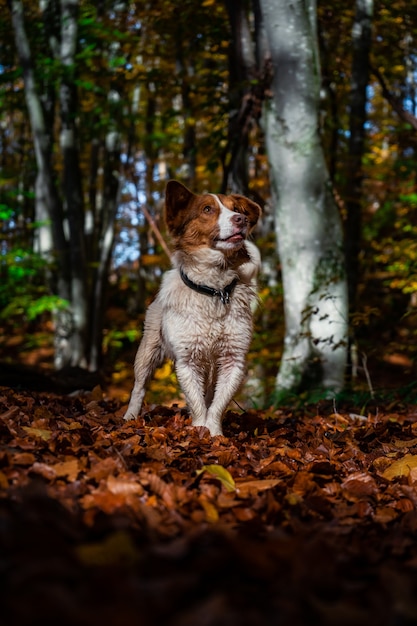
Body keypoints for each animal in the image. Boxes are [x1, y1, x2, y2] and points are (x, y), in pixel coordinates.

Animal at [122, 179, 260, 434]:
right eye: (207, 209)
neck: (214, 289)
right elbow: (196, 403)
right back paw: (130, 417)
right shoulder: (187, 361)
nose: (241, 219)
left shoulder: (233, 359)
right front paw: (199, 431)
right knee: (139, 387)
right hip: (147, 351)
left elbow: (216, 405)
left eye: (237, 209)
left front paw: (213, 434)